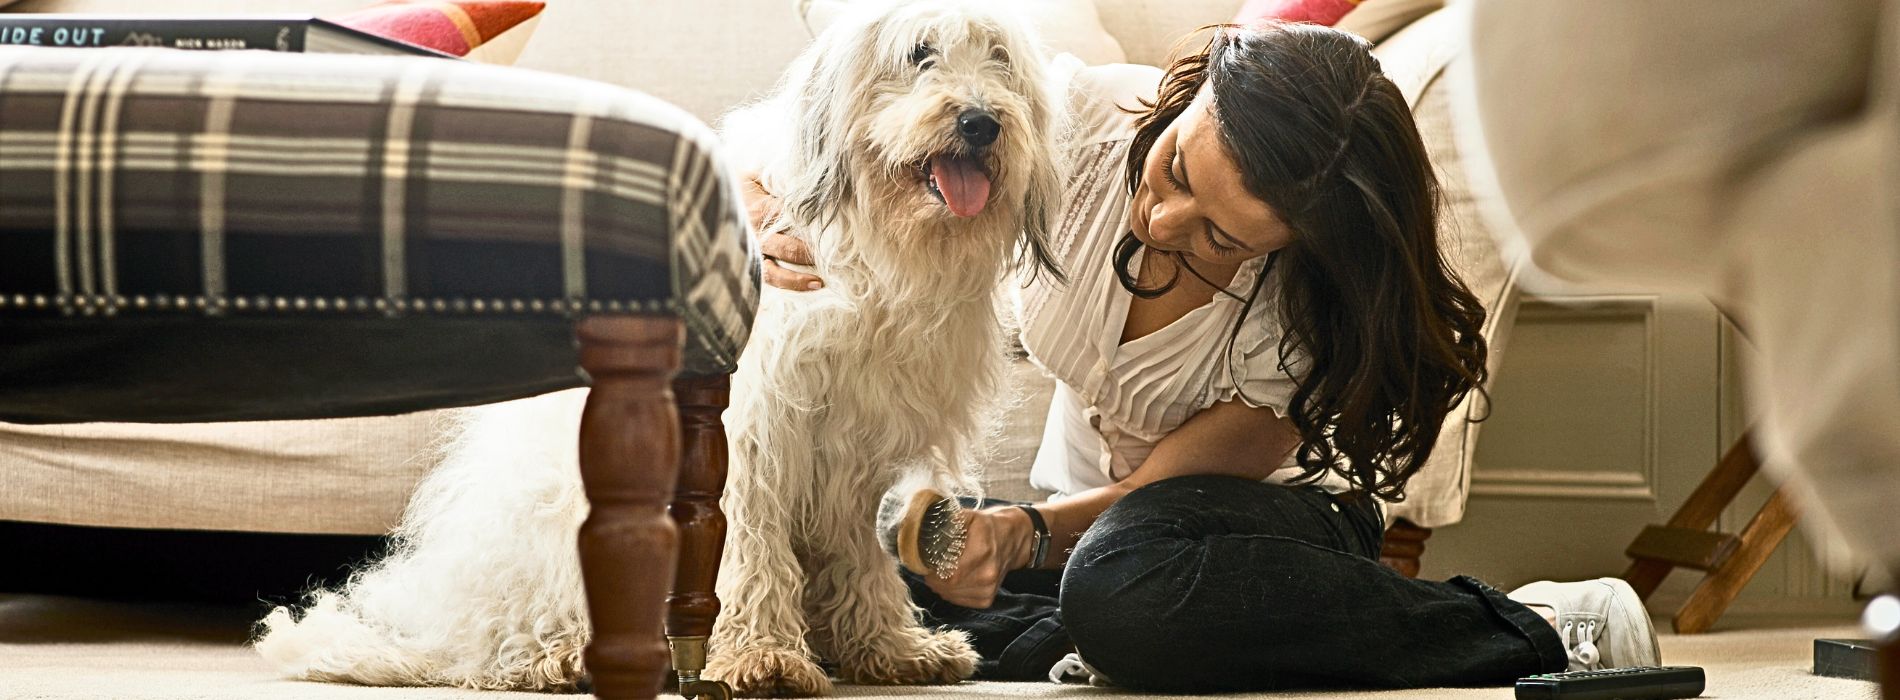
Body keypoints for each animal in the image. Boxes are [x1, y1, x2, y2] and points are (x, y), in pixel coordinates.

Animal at [248, 2, 1071, 696]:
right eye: (919, 53)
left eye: (999, 58)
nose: (980, 122)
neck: (875, 246)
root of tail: (437, 630)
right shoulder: (752, 436)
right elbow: (746, 550)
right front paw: (761, 656)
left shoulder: (855, 450)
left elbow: (860, 556)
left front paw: (890, 646)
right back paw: (557, 656)